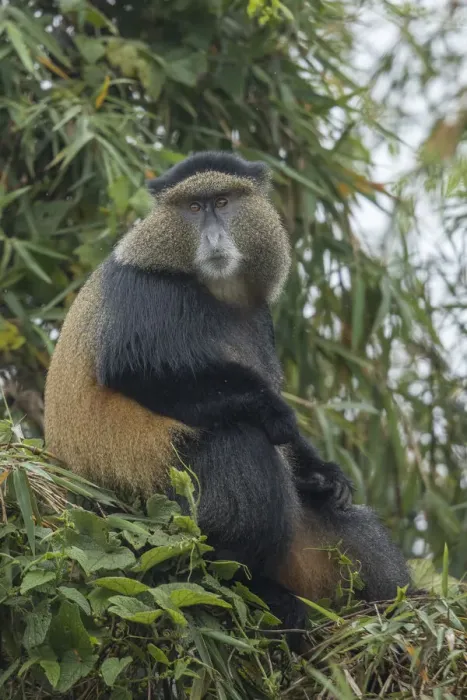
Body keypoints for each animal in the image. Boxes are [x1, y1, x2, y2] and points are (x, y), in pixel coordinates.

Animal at [44, 151, 409, 631]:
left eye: (222, 201)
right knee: (239, 441)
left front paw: (323, 472)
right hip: (149, 512)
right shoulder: (146, 294)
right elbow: (139, 371)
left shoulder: (262, 318)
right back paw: (248, 583)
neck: (216, 291)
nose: (214, 234)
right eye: (193, 207)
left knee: (348, 521)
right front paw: (276, 414)